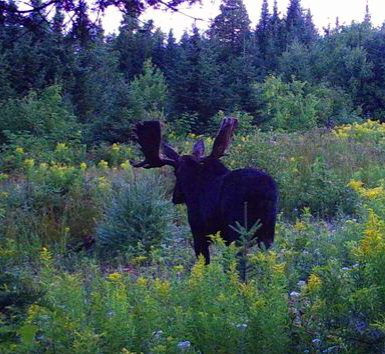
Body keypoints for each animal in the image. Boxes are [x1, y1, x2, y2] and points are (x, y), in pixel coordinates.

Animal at [132, 117, 276, 266]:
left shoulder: (199, 232)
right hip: (268, 231)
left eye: (176, 173)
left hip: (238, 230)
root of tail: (264, 192)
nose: (175, 197)